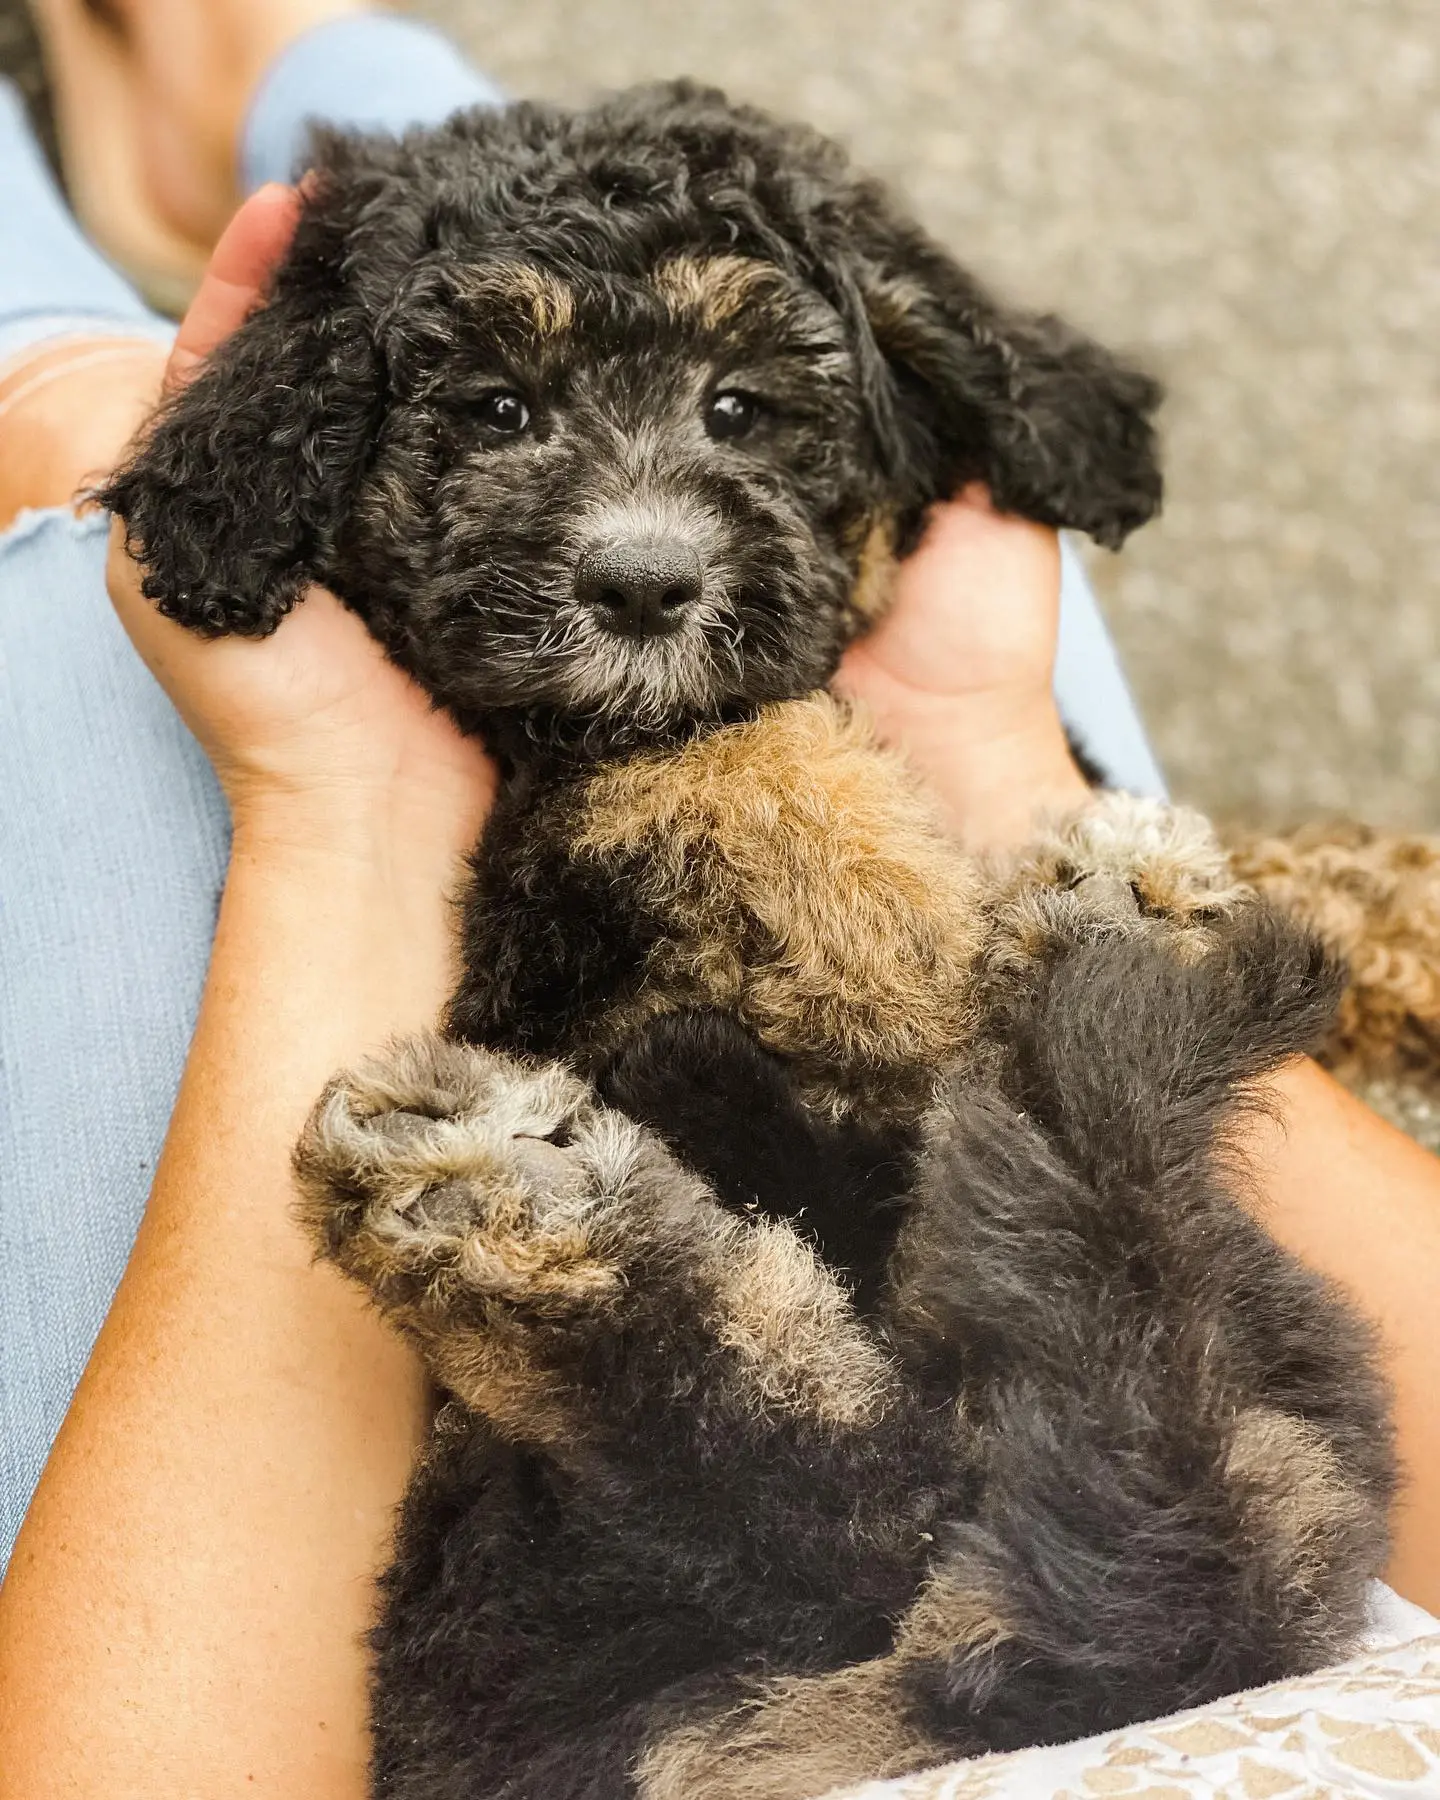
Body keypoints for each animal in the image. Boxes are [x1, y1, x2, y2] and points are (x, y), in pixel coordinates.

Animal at [95, 81, 1389, 1800]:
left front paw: (996, 921)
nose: (643, 584)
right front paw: (915, 935)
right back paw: (514, 1223)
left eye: (739, 408)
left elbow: (749, 744)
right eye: (495, 411)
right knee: (833, 1486)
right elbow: (723, 754)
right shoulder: (540, 893)